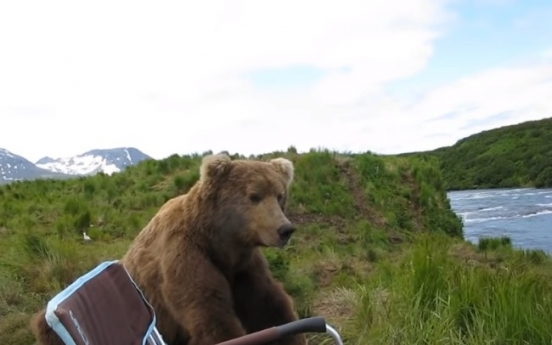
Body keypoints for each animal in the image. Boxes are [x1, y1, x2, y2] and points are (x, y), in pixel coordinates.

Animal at [31, 153, 306, 344]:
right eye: (254, 196)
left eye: (280, 195)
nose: (285, 229)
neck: (219, 242)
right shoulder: (183, 257)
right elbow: (211, 317)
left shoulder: (243, 267)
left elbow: (270, 306)